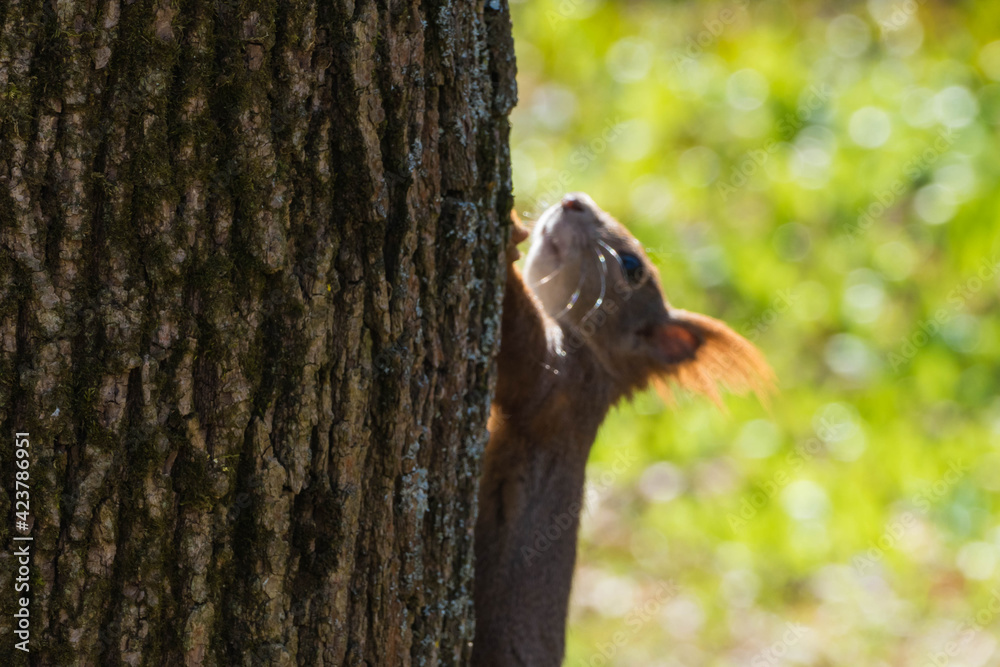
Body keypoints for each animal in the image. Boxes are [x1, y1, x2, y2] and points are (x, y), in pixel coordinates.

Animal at [472, 192, 773, 666]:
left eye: (631, 266)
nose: (573, 200)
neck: (598, 360)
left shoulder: (559, 386)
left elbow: (519, 344)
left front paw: (509, 237)